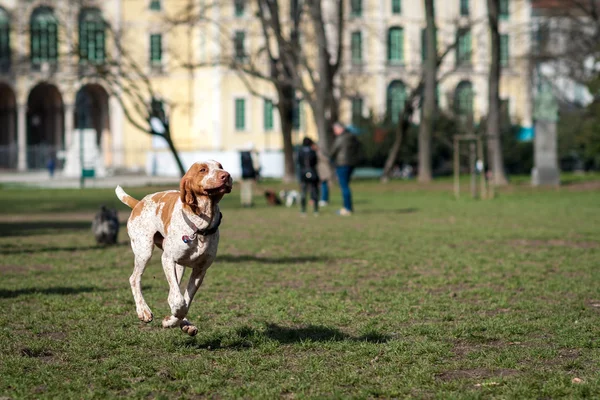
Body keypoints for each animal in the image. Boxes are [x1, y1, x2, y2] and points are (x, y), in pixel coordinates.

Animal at [115, 161, 232, 336]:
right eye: (203, 170)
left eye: (220, 166)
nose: (226, 175)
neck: (200, 228)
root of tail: (139, 203)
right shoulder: (167, 259)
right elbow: (179, 301)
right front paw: (172, 320)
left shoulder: (200, 270)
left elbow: (185, 302)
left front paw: (175, 322)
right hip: (145, 252)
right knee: (135, 279)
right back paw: (143, 310)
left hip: (179, 266)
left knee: (173, 292)